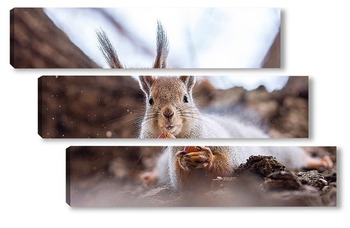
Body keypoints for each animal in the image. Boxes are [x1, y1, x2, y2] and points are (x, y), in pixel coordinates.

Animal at [97, 22, 332, 190]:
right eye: (150, 101)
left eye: (185, 98)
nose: (168, 114)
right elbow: (183, 182)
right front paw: (184, 162)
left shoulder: (231, 155)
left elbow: (226, 166)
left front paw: (206, 157)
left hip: (277, 149)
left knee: (296, 155)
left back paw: (319, 161)